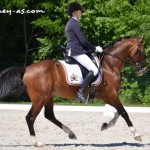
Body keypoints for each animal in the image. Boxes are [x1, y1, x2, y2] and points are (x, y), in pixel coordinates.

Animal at [0, 36, 148, 146]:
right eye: (142, 51)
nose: (144, 70)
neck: (109, 64)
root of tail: (26, 69)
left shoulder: (108, 96)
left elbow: (118, 112)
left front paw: (105, 125)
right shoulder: (110, 94)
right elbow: (123, 112)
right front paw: (136, 135)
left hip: (48, 97)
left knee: (49, 115)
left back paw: (71, 133)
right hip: (39, 99)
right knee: (30, 117)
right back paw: (37, 142)